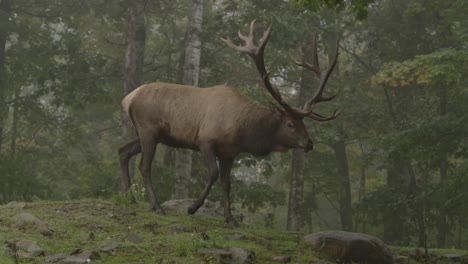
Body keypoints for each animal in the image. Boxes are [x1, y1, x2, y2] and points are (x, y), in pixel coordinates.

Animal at [117, 21, 338, 227]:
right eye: (291, 124)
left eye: (304, 123)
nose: (309, 143)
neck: (243, 133)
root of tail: (128, 98)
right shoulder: (205, 140)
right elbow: (213, 174)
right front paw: (192, 208)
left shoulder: (229, 153)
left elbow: (227, 183)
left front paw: (230, 218)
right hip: (149, 129)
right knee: (144, 166)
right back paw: (156, 206)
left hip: (149, 134)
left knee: (123, 151)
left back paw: (130, 197)